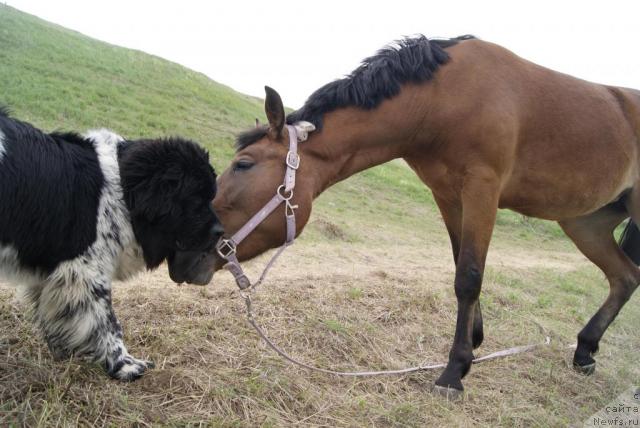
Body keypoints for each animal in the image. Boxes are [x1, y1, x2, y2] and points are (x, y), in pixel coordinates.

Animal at [0, 108, 222, 382]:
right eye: (197, 199)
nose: (221, 231)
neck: (122, 192)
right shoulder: (84, 273)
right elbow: (108, 323)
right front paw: (124, 364)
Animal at [212, 35, 640, 396]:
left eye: (243, 165)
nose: (201, 251)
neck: (441, 98)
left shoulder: (482, 190)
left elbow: (469, 276)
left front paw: (453, 372)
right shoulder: (448, 196)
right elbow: (460, 265)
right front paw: (473, 345)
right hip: (586, 223)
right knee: (625, 277)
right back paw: (584, 352)